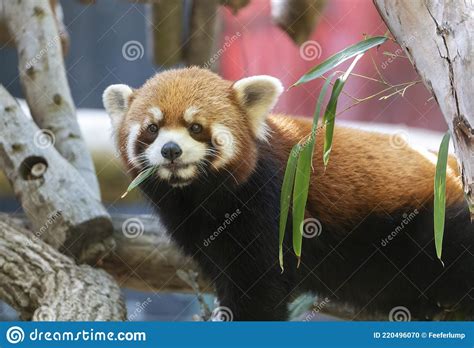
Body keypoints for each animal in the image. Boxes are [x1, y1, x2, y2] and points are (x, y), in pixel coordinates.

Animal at [104, 66, 474, 320]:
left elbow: (259, 292)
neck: (199, 197)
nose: (171, 150)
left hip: (436, 224)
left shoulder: (270, 206)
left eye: (195, 127)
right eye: (152, 128)